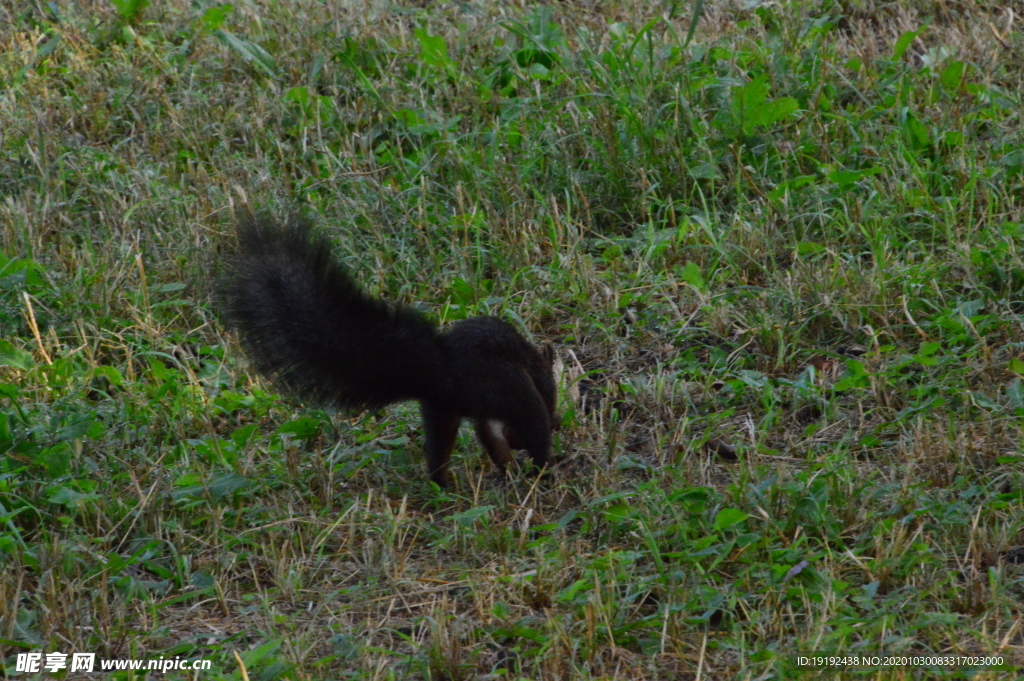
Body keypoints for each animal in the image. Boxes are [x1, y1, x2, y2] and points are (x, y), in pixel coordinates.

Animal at [220, 215, 557, 485]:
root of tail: (444, 368)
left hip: (440, 409)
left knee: (451, 447)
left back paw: (450, 483)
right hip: (508, 388)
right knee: (533, 428)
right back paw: (541, 469)